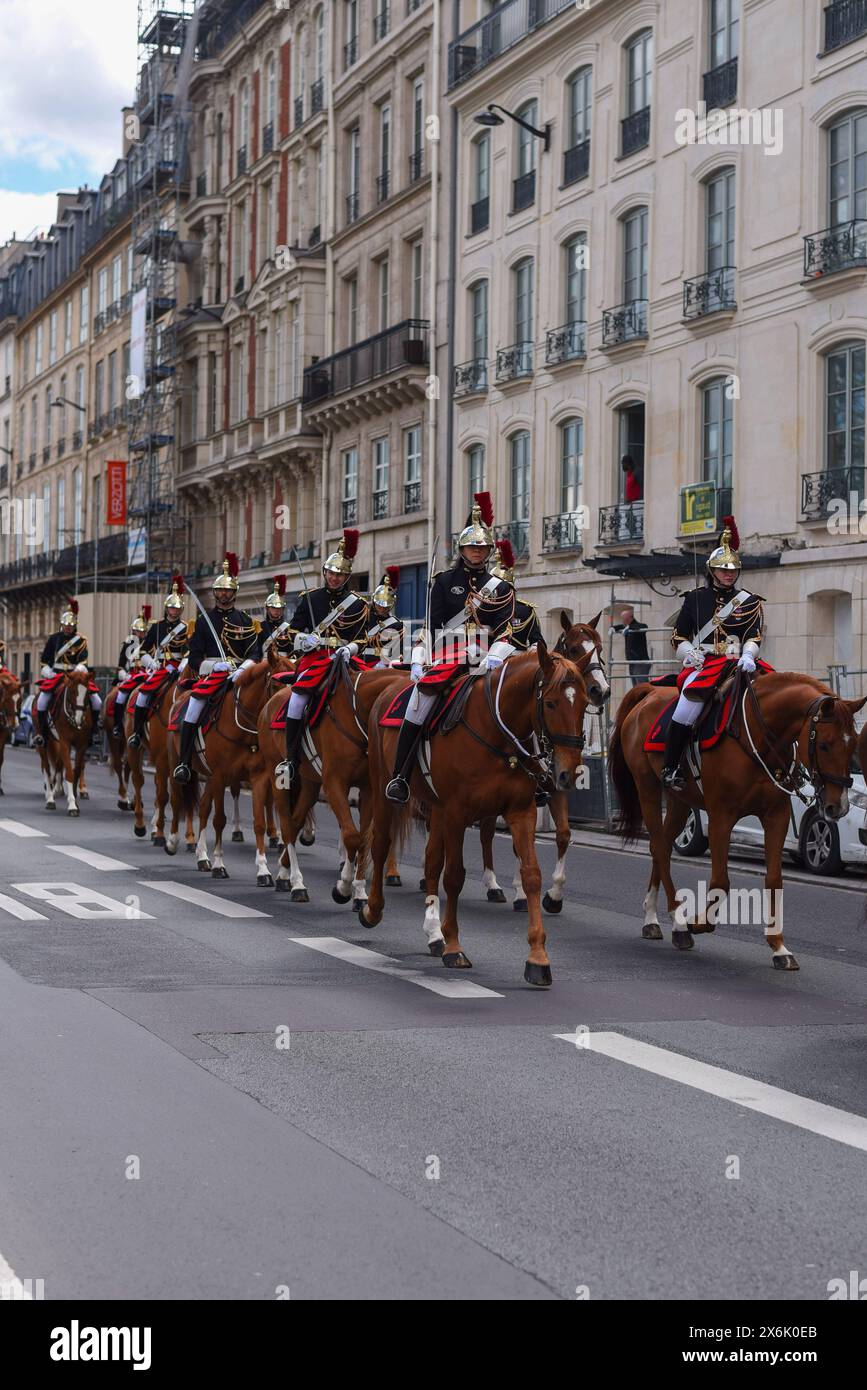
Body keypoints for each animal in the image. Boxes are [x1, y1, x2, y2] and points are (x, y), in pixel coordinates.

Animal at [36, 669, 92, 811]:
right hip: (43, 743)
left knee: (57, 765)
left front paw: (75, 801)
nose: (79, 719)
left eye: (87, 692)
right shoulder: (65, 742)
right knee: (46, 768)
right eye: (72, 691)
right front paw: (72, 805)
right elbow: (69, 773)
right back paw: (50, 798)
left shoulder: (81, 745)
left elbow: (76, 771)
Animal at [163, 650, 293, 878]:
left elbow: (258, 822)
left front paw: (263, 870)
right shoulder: (220, 776)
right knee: (178, 799)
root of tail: (182, 697)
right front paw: (219, 865)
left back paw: (202, 856)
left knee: (203, 808)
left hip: (208, 776)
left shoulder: (258, 778)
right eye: (276, 685)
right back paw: (172, 842)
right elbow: (219, 820)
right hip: (176, 765)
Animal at [255, 658, 408, 900]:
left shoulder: (368, 789)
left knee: (296, 822)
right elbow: (352, 836)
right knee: (288, 826)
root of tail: (270, 703)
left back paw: (284, 874)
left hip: (310, 783)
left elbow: (363, 839)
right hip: (276, 775)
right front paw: (343, 888)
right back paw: (297, 883)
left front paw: (359, 893)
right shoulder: (335, 784)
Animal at [358, 644, 589, 984]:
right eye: (550, 703)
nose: (568, 774)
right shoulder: (457, 813)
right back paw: (372, 910)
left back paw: (433, 934)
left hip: (436, 809)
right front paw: (455, 947)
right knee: (381, 844)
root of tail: (389, 688)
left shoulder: (521, 811)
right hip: (385, 791)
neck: (496, 732)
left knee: (430, 863)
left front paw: (537, 958)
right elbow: (454, 876)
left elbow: (531, 876)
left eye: (585, 702)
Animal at [608, 672, 867, 967]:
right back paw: (677, 923)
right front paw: (700, 923)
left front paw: (779, 947)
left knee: (658, 847)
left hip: (679, 801)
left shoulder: (776, 817)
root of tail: (650, 693)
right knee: (660, 848)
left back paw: (654, 917)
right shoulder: (721, 816)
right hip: (648, 789)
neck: (758, 737)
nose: (839, 806)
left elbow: (774, 879)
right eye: (824, 745)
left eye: (853, 745)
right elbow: (721, 880)